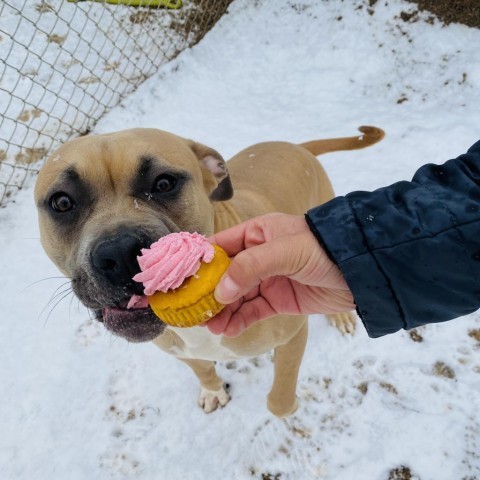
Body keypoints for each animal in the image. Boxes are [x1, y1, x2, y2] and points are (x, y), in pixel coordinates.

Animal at [34, 126, 382, 416]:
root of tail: (297, 146)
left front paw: (288, 405)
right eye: (62, 202)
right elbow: (202, 369)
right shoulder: (180, 350)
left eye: (164, 183)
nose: (119, 252)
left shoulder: (293, 335)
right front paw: (213, 390)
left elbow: (280, 397)